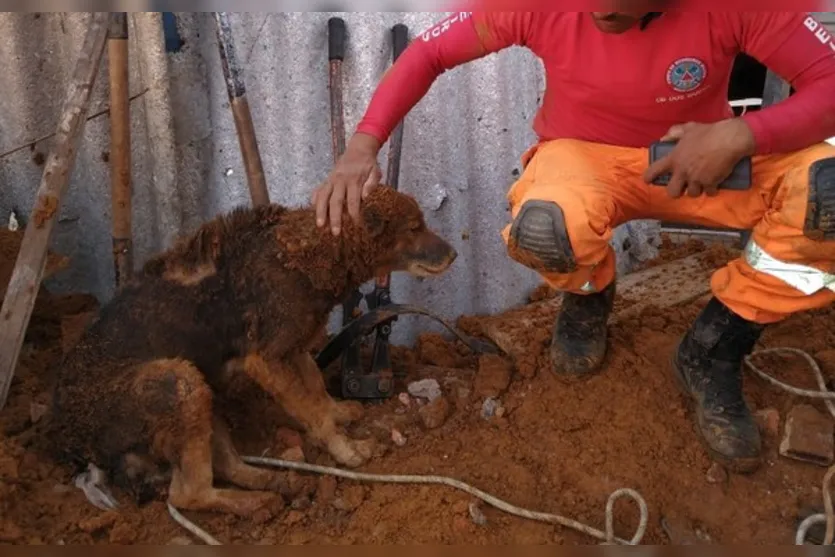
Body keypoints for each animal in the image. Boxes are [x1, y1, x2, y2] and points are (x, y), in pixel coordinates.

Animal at [45, 187, 458, 516]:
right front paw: (345, 451)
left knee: (228, 467)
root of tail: (70, 439)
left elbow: (317, 392)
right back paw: (253, 503)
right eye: (414, 227)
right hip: (177, 382)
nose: (454, 254)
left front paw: (339, 412)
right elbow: (312, 411)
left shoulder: (293, 345)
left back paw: (278, 483)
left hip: (199, 388)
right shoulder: (267, 359)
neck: (309, 252)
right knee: (187, 494)